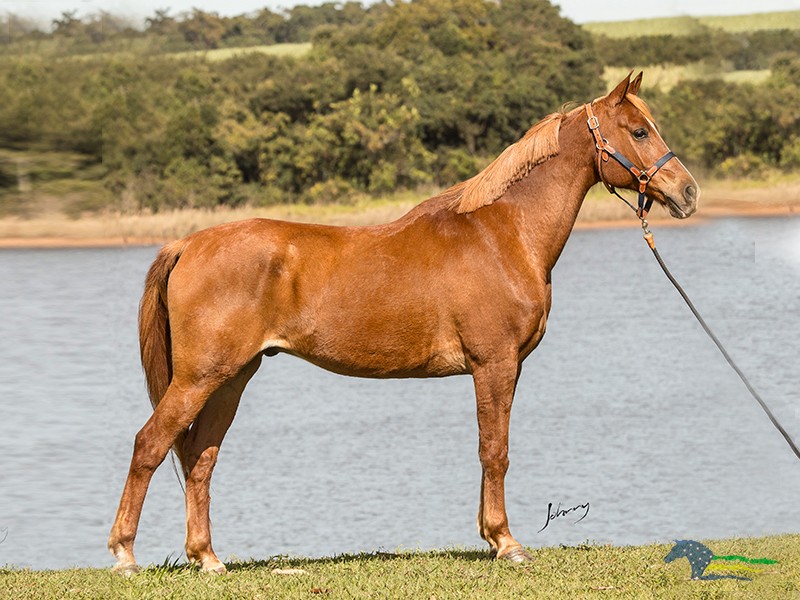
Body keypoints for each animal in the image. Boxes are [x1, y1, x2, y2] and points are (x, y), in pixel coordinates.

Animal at [109, 72, 696, 576]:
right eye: (639, 131)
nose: (687, 192)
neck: (502, 233)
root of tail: (187, 243)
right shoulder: (495, 363)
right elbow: (495, 449)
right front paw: (506, 542)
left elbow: (488, 447)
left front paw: (489, 537)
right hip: (199, 378)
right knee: (150, 444)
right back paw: (125, 555)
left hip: (231, 378)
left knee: (200, 458)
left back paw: (207, 557)